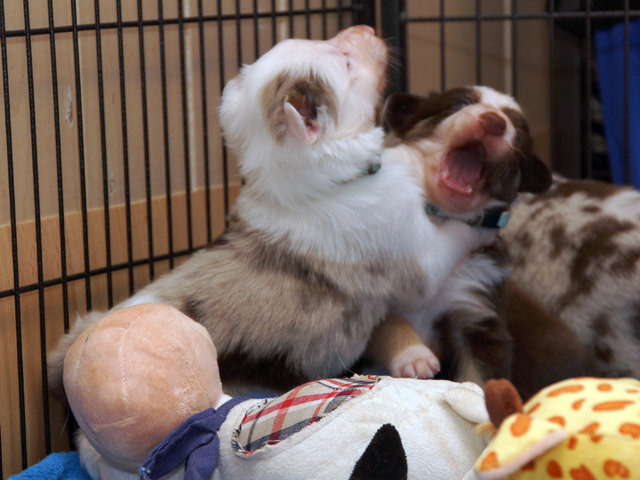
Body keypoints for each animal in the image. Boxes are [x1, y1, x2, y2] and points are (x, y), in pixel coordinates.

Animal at [367, 86, 556, 387]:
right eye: (459, 104)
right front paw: (415, 357)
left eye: (516, 129)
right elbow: (389, 324)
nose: (495, 121)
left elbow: (477, 377)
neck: (439, 219)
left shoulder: (475, 313)